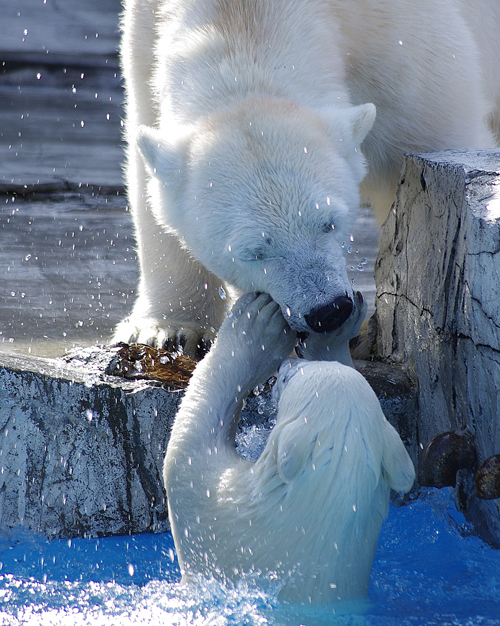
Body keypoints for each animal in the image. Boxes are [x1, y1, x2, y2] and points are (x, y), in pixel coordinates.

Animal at [114, 0, 500, 356]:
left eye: (330, 223)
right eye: (252, 252)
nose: (328, 311)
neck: (242, 15)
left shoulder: (407, 45)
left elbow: (433, 140)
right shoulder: (144, 37)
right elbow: (149, 178)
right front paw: (169, 330)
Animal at [164, 292, 414, 604]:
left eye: (288, 379)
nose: (286, 366)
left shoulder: (217, 527)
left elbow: (190, 443)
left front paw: (257, 324)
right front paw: (332, 336)